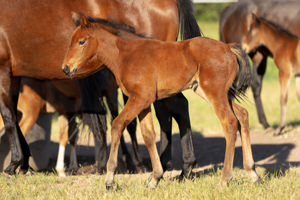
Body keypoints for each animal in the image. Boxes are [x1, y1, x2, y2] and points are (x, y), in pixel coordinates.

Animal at [1, 0, 202, 175]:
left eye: (81, 41)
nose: (65, 68)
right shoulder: (14, 75)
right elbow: (14, 115)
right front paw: (23, 163)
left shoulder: (3, 69)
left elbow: (8, 116)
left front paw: (14, 164)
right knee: (168, 111)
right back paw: (169, 164)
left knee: (176, 107)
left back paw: (183, 167)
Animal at [62, 14, 260, 189]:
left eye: (81, 41)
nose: (66, 68)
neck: (127, 55)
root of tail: (228, 48)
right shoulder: (143, 102)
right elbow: (148, 134)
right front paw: (154, 179)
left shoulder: (139, 98)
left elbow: (117, 125)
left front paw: (109, 180)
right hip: (213, 92)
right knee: (242, 115)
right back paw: (252, 173)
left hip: (215, 93)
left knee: (230, 123)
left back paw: (225, 180)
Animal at [219, 0, 300, 134]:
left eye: (251, 31)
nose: (243, 47)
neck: (285, 44)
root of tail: (228, 10)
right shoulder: (286, 73)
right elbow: (284, 98)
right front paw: (280, 128)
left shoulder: (290, 73)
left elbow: (290, 97)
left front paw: (280, 127)